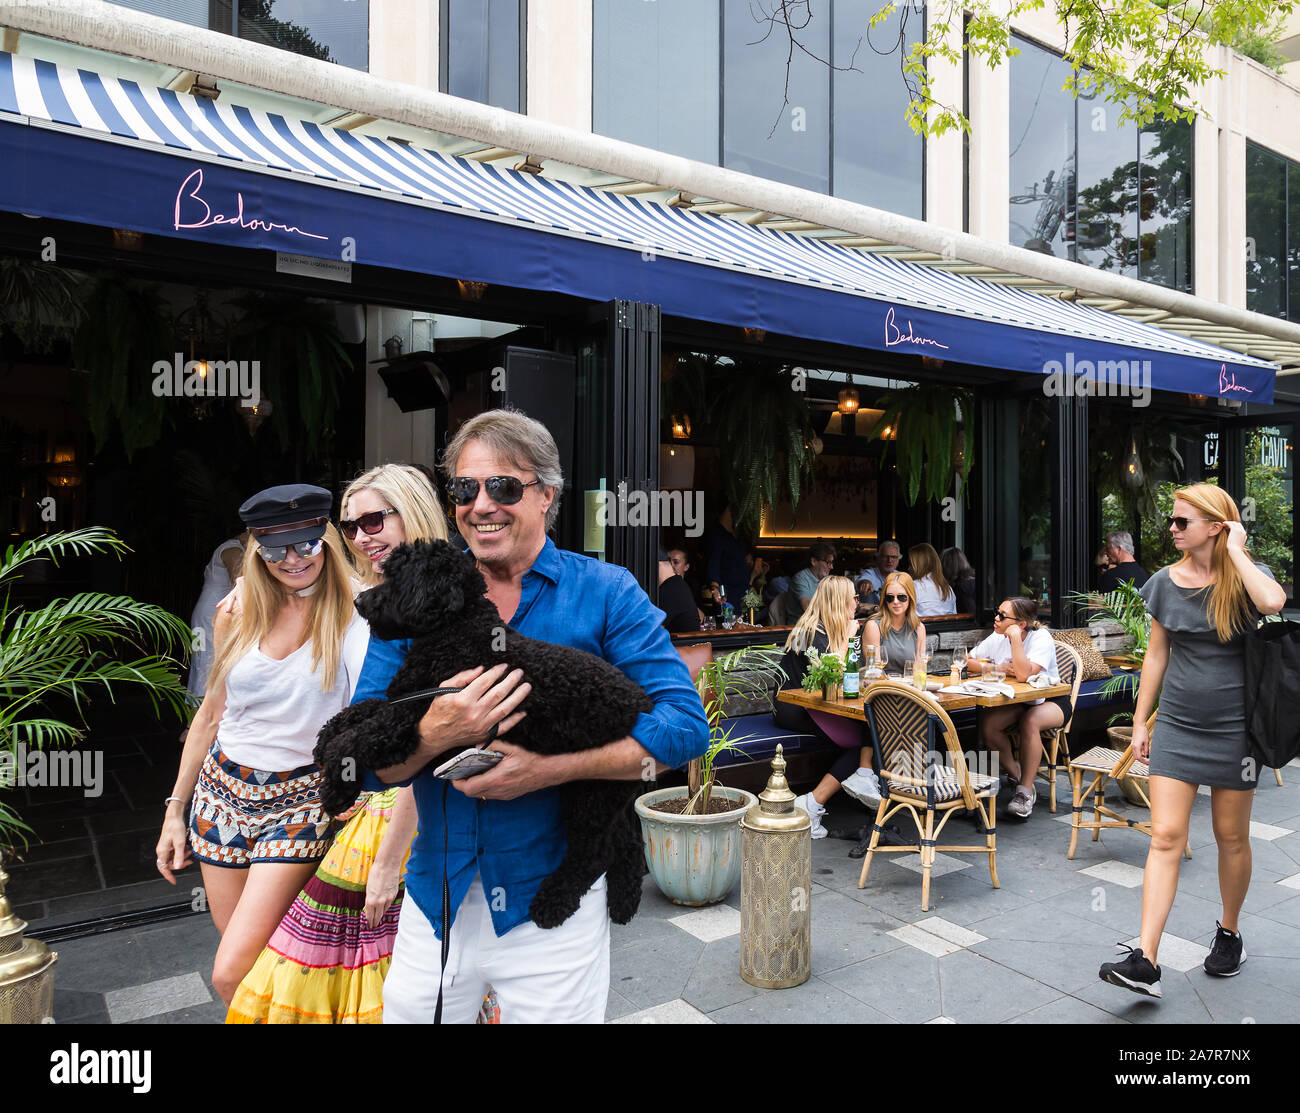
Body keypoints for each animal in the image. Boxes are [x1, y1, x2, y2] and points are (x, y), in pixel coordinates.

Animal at [313, 538, 655, 930]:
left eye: (400, 578)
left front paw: (336, 787)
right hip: (597, 788)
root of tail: (642, 701)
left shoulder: (407, 718)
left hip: (591, 795)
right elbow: (360, 711)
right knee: (626, 839)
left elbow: (356, 739)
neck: (457, 629)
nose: (360, 603)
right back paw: (625, 901)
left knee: (593, 851)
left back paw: (552, 903)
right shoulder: (406, 698)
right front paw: (325, 737)